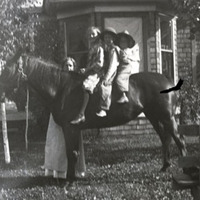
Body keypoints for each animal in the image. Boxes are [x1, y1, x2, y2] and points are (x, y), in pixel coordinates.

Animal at [0, 51, 188, 183]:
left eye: (7, 69)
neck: (60, 86)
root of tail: (168, 81)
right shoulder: (73, 129)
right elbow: (73, 152)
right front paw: (72, 176)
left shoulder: (70, 128)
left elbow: (71, 153)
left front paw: (69, 180)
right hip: (154, 116)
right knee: (165, 139)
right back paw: (165, 166)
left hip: (168, 117)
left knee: (179, 140)